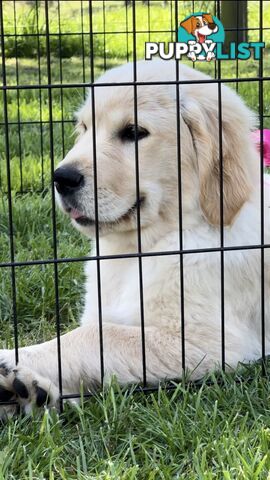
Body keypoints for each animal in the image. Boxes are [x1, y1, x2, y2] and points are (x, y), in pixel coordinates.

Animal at [0, 60, 270, 412]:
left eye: (133, 132)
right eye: (84, 128)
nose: (61, 178)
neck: (143, 248)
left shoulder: (209, 342)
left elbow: (97, 335)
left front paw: (16, 364)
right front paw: (27, 388)